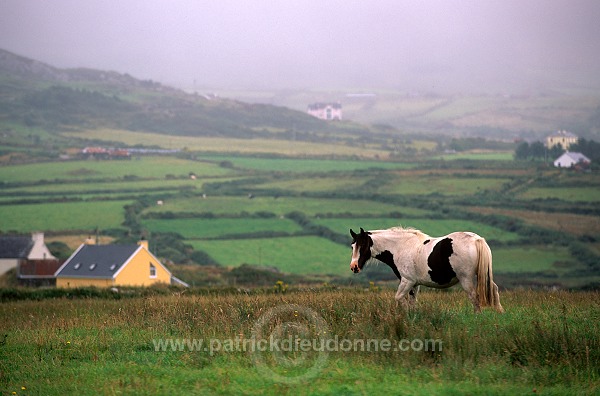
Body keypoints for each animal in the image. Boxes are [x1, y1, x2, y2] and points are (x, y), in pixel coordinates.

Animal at [350, 227, 504, 314]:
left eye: (363, 245)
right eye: (352, 246)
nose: (354, 267)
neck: (401, 247)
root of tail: (477, 239)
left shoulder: (407, 281)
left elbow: (399, 298)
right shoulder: (414, 284)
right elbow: (412, 302)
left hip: (466, 279)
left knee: (474, 297)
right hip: (484, 275)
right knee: (494, 290)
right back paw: (500, 313)